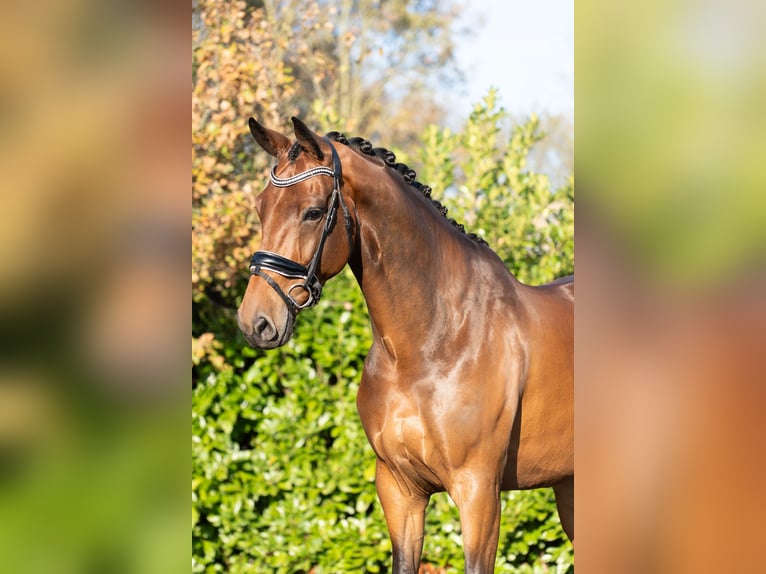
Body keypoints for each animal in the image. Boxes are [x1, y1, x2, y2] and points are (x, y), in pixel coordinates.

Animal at [237, 117, 574, 573]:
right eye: (261, 207)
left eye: (313, 212)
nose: (256, 321)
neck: (431, 344)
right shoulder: (399, 489)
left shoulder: (478, 491)